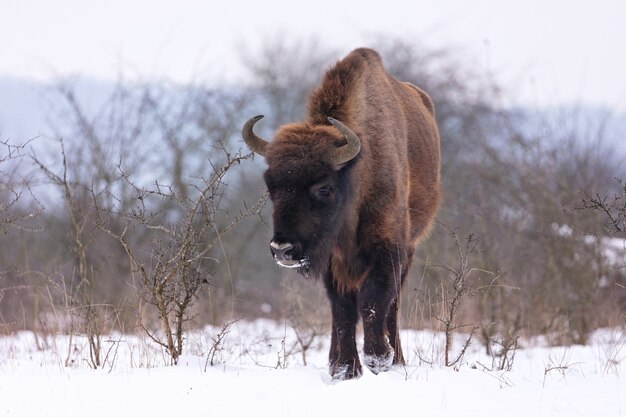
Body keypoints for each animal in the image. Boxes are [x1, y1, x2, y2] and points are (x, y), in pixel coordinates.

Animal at [239, 47, 438, 378]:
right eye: (271, 185)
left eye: (323, 188)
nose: (282, 249)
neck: (358, 171)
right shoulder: (334, 259)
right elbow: (342, 308)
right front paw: (345, 368)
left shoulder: (388, 248)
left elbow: (374, 300)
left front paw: (379, 358)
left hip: (411, 245)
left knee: (394, 303)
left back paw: (396, 359)